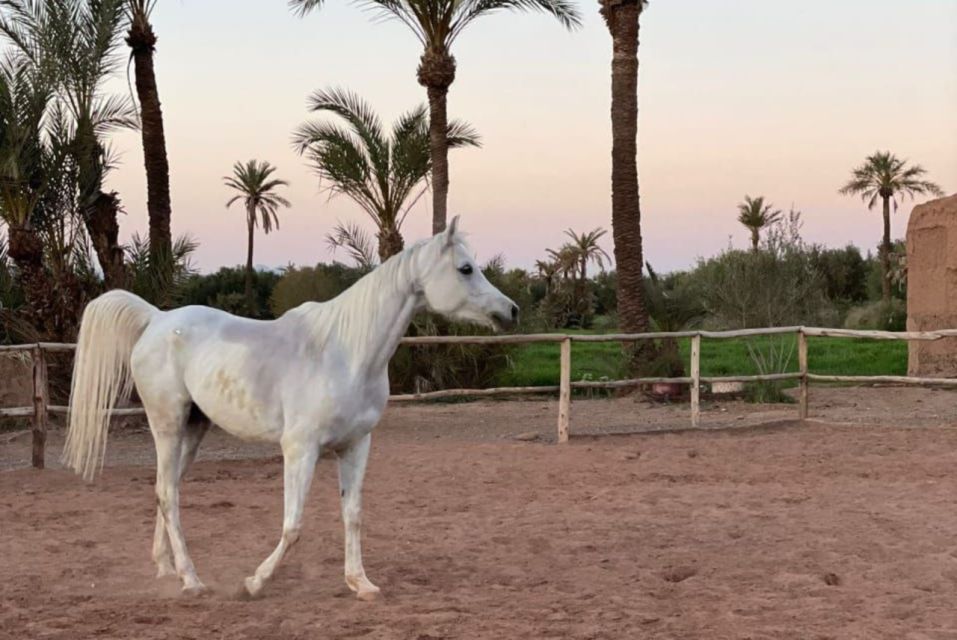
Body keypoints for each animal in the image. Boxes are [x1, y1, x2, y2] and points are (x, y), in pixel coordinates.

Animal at [61, 217, 518, 600]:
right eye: (465, 268)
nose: (510, 311)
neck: (346, 353)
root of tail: (156, 320)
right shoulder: (300, 450)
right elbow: (293, 524)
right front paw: (254, 582)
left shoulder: (356, 446)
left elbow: (352, 514)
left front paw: (361, 583)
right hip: (168, 425)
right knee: (168, 494)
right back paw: (191, 580)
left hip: (193, 430)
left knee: (164, 489)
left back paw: (167, 569)